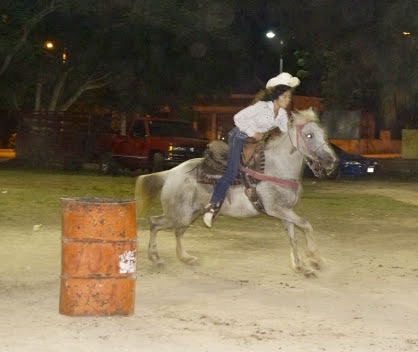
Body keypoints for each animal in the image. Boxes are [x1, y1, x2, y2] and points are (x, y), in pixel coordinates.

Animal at [136, 108, 338, 276]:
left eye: (323, 134)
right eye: (309, 135)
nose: (331, 161)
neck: (276, 168)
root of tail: (171, 172)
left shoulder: (285, 211)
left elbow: (293, 236)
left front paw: (301, 266)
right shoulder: (275, 208)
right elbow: (306, 225)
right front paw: (316, 259)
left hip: (189, 213)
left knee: (177, 231)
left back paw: (186, 257)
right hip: (179, 214)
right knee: (154, 223)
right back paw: (156, 258)